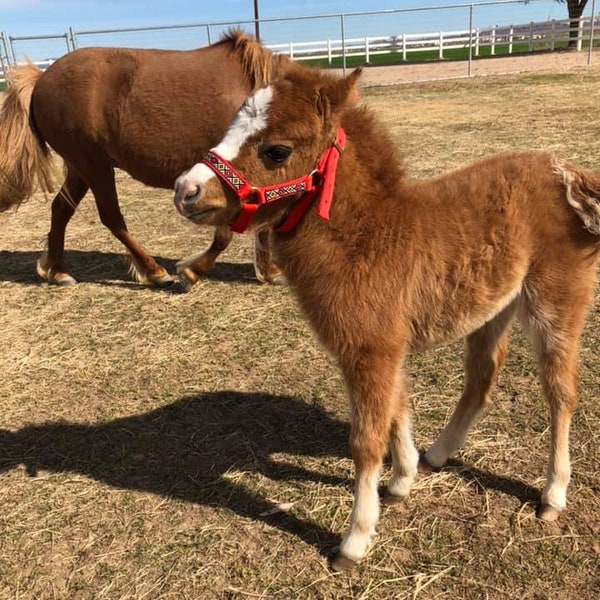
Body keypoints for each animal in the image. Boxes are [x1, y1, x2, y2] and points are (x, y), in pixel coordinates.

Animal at [0, 31, 288, 290]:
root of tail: (41, 79)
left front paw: (270, 271)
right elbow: (225, 235)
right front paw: (191, 272)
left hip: (80, 169)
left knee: (61, 209)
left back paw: (58, 271)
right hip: (94, 166)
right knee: (111, 218)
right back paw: (153, 272)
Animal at [172, 68, 600, 568]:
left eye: (276, 150)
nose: (186, 189)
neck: (366, 236)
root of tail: (571, 173)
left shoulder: (371, 349)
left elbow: (366, 440)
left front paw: (355, 538)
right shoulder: (381, 346)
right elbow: (398, 405)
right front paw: (403, 479)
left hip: (557, 300)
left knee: (560, 392)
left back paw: (552, 495)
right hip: (494, 305)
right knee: (482, 377)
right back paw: (438, 454)